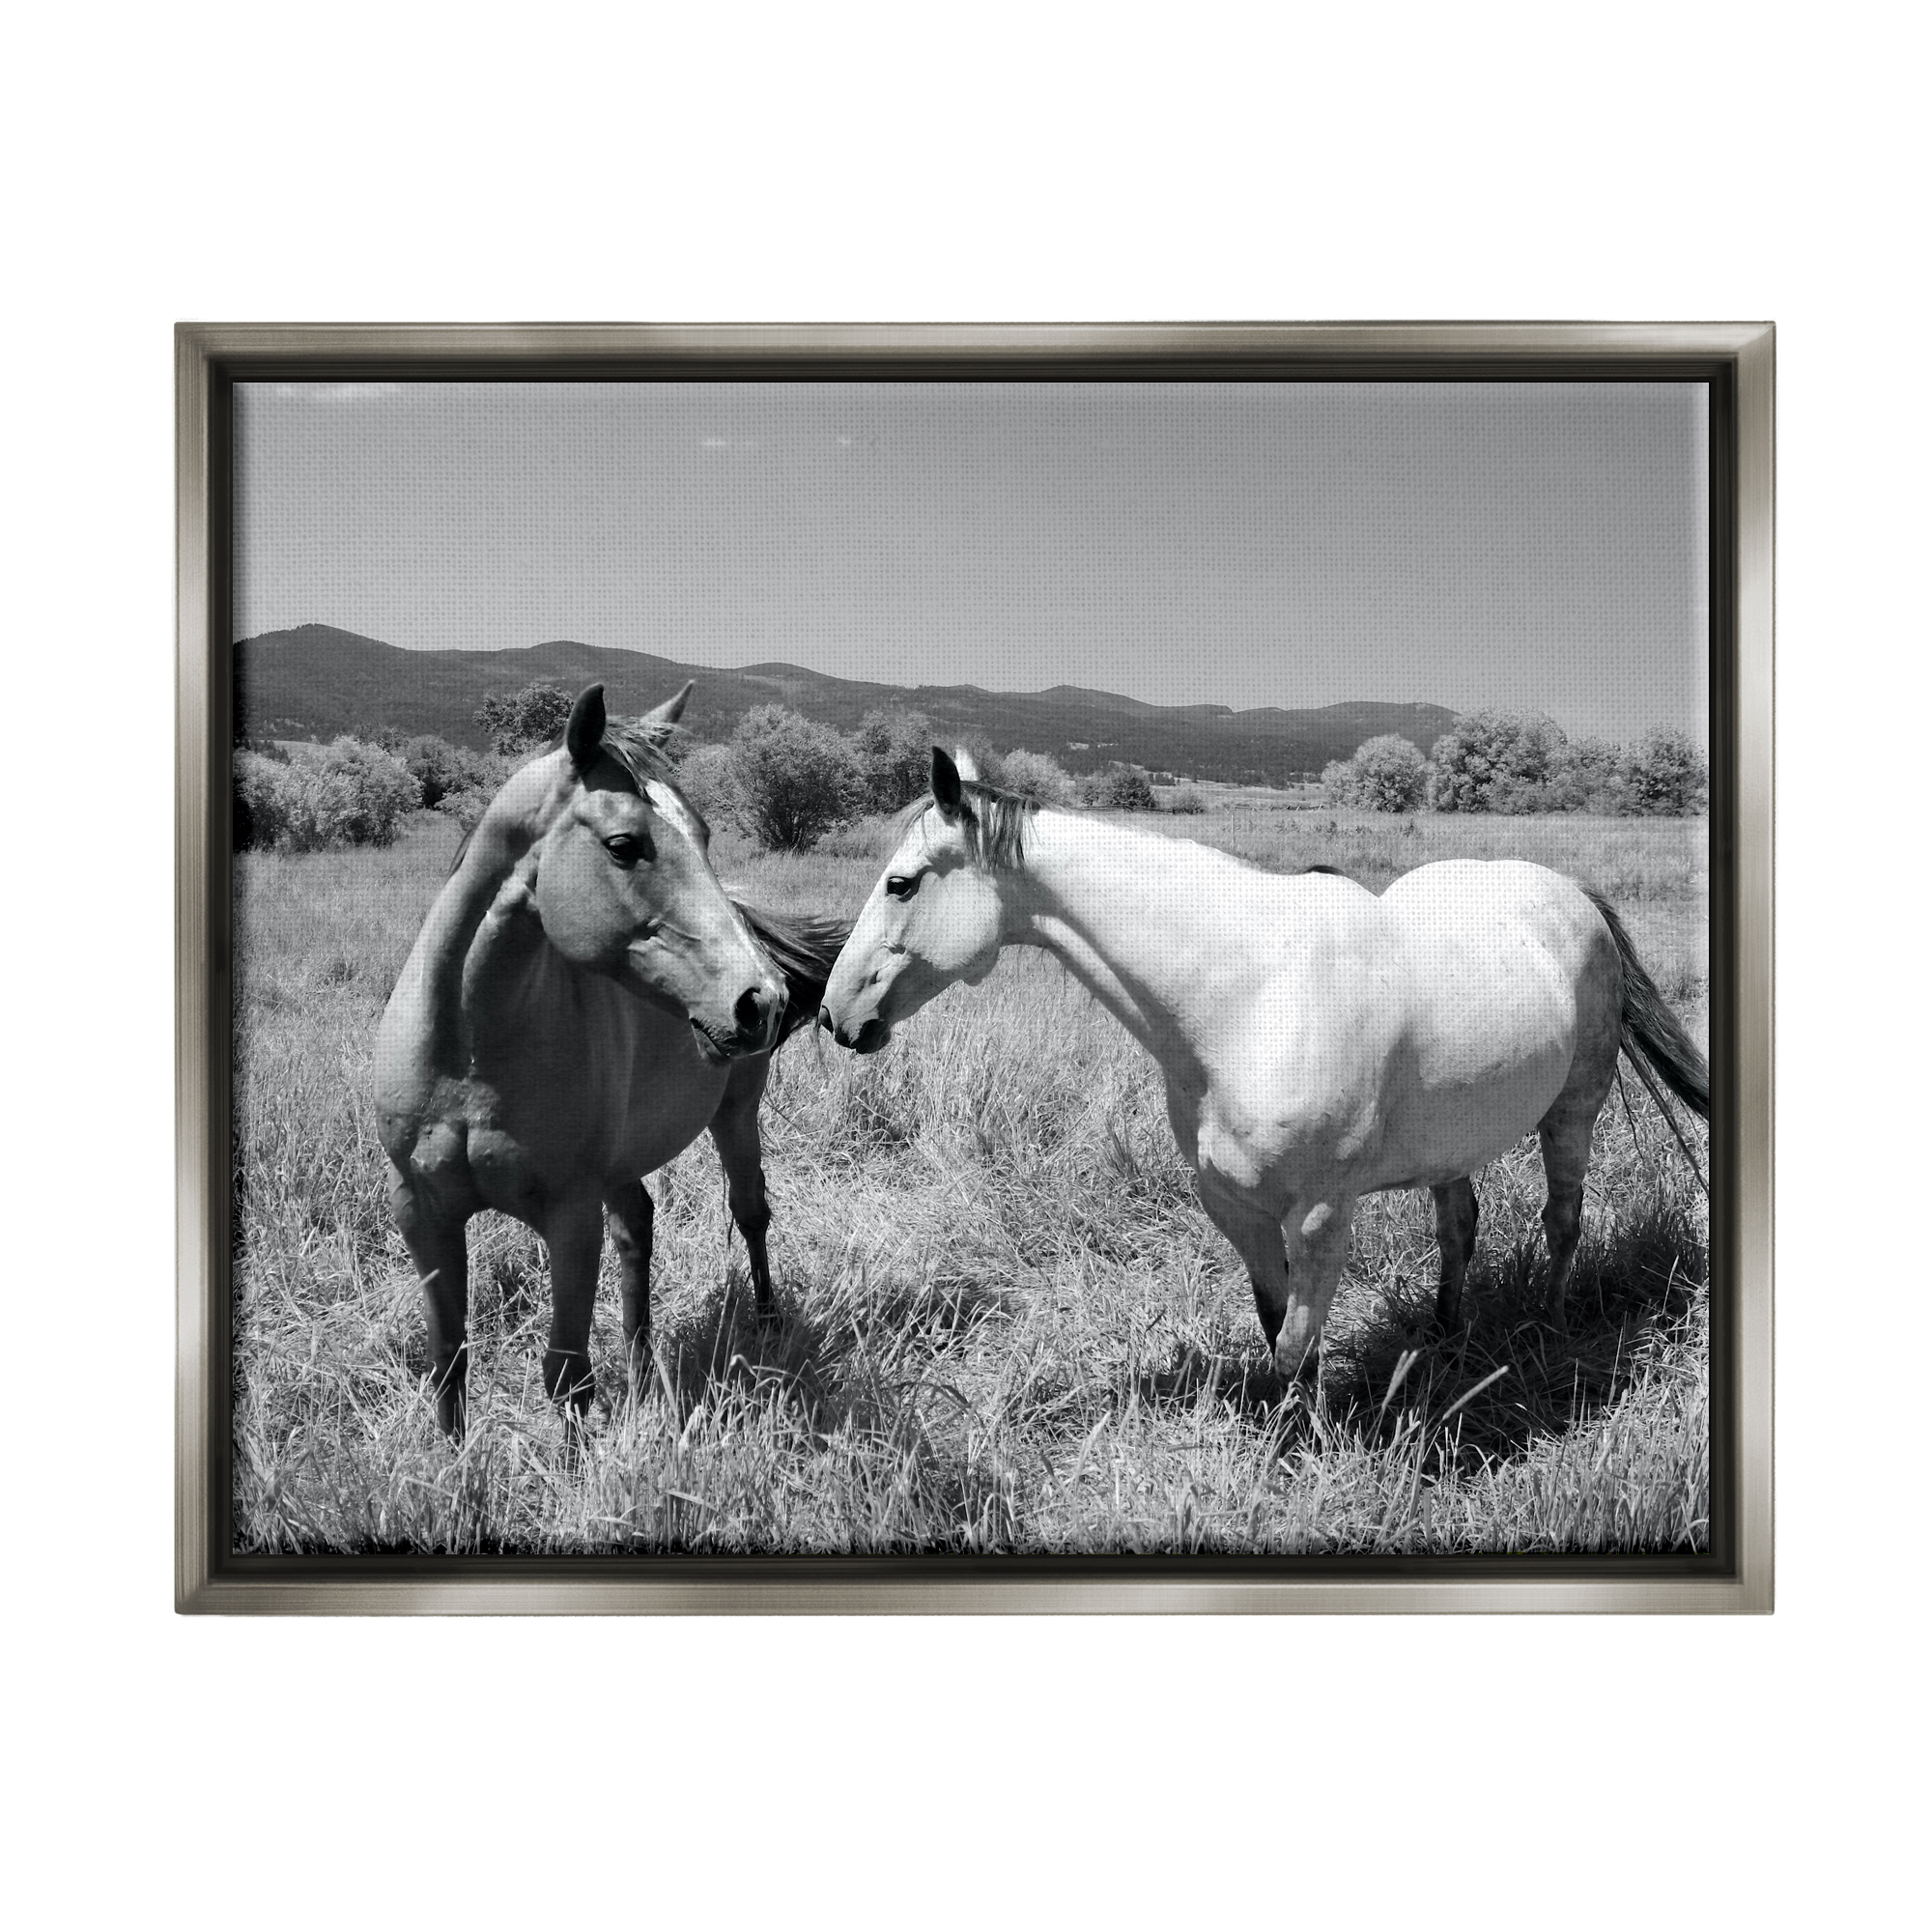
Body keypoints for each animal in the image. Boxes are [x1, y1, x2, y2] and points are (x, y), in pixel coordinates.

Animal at [374, 682, 848, 1436]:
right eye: (624, 845)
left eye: (705, 834)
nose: (760, 1001)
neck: (467, 1060)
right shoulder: (420, 1211)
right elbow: (448, 1360)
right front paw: (449, 1464)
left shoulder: (570, 1215)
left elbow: (566, 1374)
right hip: (622, 1162)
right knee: (638, 1230)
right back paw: (644, 1365)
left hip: (735, 1116)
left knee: (750, 1212)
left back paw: (769, 1327)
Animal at [819, 747, 1708, 1378]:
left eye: (900, 884)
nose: (834, 1015)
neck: (1248, 998)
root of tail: (1571, 895)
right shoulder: (1235, 1208)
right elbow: (1276, 1326)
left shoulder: (1319, 1216)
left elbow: (1294, 1351)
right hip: (1453, 1141)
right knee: (1459, 1229)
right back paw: (1445, 1337)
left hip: (1573, 1113)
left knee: (1563, 1223)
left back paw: (1549, 1329)